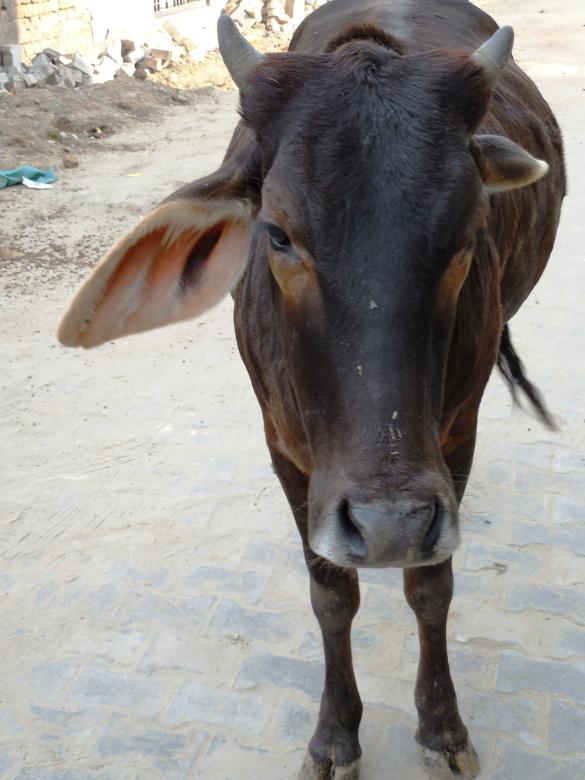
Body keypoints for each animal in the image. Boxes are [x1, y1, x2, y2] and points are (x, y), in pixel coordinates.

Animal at [58, 0, 565, 777]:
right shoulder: (284, 445)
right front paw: (334, 736)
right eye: (277, 233)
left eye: (467, 234)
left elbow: (430, 586)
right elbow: (330, 593)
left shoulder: (456, 432)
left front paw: (441, 727)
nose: (389, 527)